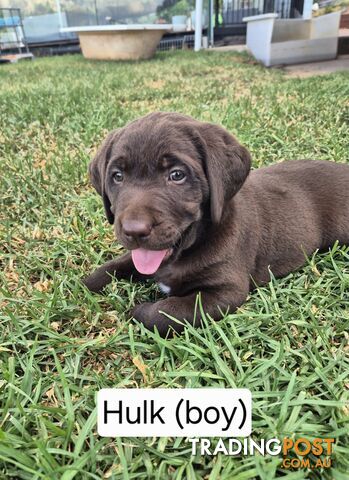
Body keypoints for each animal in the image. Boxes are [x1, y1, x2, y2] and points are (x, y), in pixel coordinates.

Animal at [83, 111, 348, 338]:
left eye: (177, 175)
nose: (134, 231)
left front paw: (135, 312)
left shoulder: (225, 291)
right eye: (117, 176)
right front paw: (82, 285)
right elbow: (115, 265)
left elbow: (166, 312)